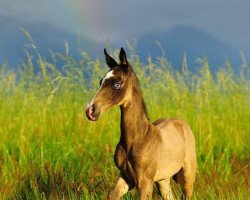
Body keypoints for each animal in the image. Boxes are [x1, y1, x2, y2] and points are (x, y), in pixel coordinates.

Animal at [86, 47, 197, 199]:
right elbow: (112, 196)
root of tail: (181, 123)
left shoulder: (145, 181)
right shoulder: (125, 177)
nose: (90, 110)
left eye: (116, 84)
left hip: (187, 176)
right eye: (100, 82)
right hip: (163, 180)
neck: (137, 138)